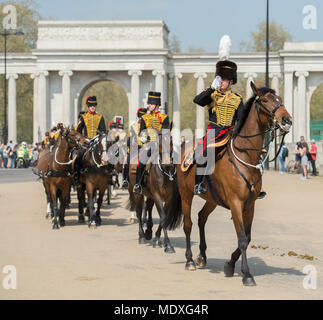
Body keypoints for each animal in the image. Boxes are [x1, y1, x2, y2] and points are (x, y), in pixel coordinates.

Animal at [172, 82, 294, 284]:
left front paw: (229, 265)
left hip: (212, 199)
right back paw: (189, 260)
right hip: (186, 194)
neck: (245, 155)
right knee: (188, 224)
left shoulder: (250, 205)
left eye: (280, 99)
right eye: (265, 100)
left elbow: (248, 237)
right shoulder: (236, 203)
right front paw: (247, 275)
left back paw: (202, 256)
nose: (287, 120)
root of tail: (184, 147)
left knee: (201, 218)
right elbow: (242, 238)